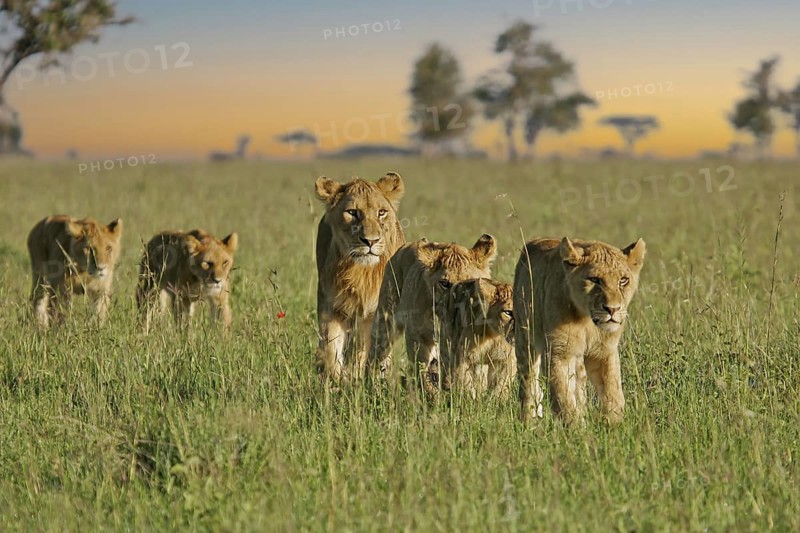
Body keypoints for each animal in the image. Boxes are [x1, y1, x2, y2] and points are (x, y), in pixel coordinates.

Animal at [314, 172, 405, 382]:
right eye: (352, 212)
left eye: (381, 212)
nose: (370, 241)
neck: (361, 272)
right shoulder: (331, 307)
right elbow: (331, 348)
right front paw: (336, 379)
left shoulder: (378, 311)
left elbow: (367, 348)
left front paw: (363, 374)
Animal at [367, 235, 497, 398]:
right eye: (445, 283)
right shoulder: (417, 335)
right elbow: (421, 370)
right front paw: (434, 395)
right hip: (384, 322)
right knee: (375, 359)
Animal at [513, 237, 646, 425]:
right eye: (595, 279)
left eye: (623, 280)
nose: (612, 309)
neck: (587, 320)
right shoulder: (559, 353)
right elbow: (564, 396)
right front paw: (576, 428)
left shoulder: (605, 351)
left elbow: (613, 391)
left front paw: (615, 425)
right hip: (524, 338)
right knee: (528, 382)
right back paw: (528, 420)